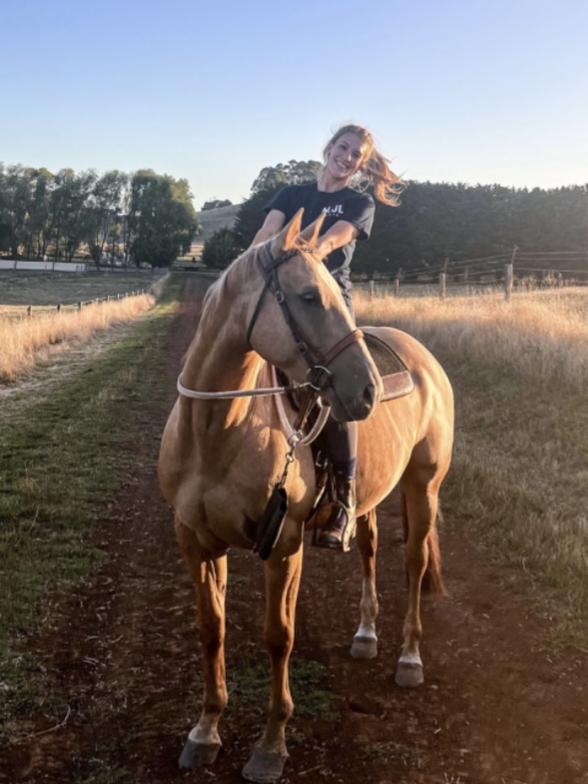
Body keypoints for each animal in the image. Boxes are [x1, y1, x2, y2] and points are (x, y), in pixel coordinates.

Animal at [158, 208, 452, 784]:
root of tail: (423, 359)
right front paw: (205, 731)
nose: (368, 391)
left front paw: (270, 746)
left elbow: (279, 636)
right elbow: (211, 629)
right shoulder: (196, 542)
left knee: (412, 563)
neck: (217, 431)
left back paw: (409, 659)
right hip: (369, 499)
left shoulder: (283, 544)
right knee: (369, 550)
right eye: (309, 297)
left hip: (422, 486)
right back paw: (366, 635)